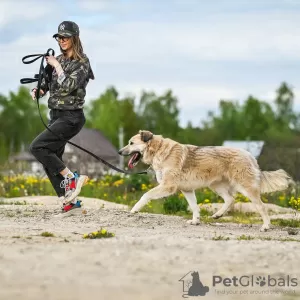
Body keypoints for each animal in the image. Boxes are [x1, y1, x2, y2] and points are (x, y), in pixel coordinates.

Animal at [118, 130, 294, 231]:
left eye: (131, 143)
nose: (119, 152)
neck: (159, 151)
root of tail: (250, 155)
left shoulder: (168, 186)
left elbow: (145, 195)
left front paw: (134, 209)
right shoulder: (187, 190)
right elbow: (194, 206)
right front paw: (195, 221)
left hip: (246, 188)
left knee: (262, 207)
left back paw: (266, 226)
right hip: (216, 186)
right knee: (230, 199)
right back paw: (218, 215)